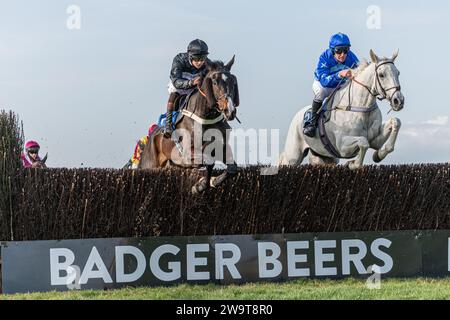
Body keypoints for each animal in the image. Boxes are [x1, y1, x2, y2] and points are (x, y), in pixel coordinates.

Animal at [140, 56, 239, 194]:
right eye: (214, 82)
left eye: (233, 82)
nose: (230, 111)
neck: (206, 118)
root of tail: (151, 135)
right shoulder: (188, 154)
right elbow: (209, 161)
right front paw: (200, 186)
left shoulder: (222, 147)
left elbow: (232, 169)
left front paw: (210, 182)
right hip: (150, 163)